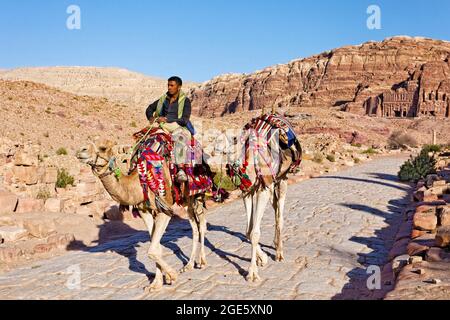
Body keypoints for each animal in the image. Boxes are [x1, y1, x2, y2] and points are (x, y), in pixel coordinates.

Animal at [77, 139, 209, 292]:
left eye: (103, 148)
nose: (80, 150)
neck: (139, 184)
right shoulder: (144, 211)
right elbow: (156, 247)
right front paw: (157, 283)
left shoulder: (164, 210)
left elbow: (152, 250)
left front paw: (171, 276)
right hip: (186, 200)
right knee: (194, 226)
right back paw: (188, 265)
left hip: (196, 193)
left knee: (202, 225)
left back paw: (202, 261)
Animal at [212, 113, 302, 282]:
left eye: (234, 138)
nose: (215, 148)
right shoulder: (247, 192)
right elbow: (248, 231)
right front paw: (263, 258)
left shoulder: (262, 191)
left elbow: (254, 233)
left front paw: (252, 273)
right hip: (272, 184)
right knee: (275, 208)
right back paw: (275, 244)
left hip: (282, 179)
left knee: (280, 215)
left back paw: (279, 253)